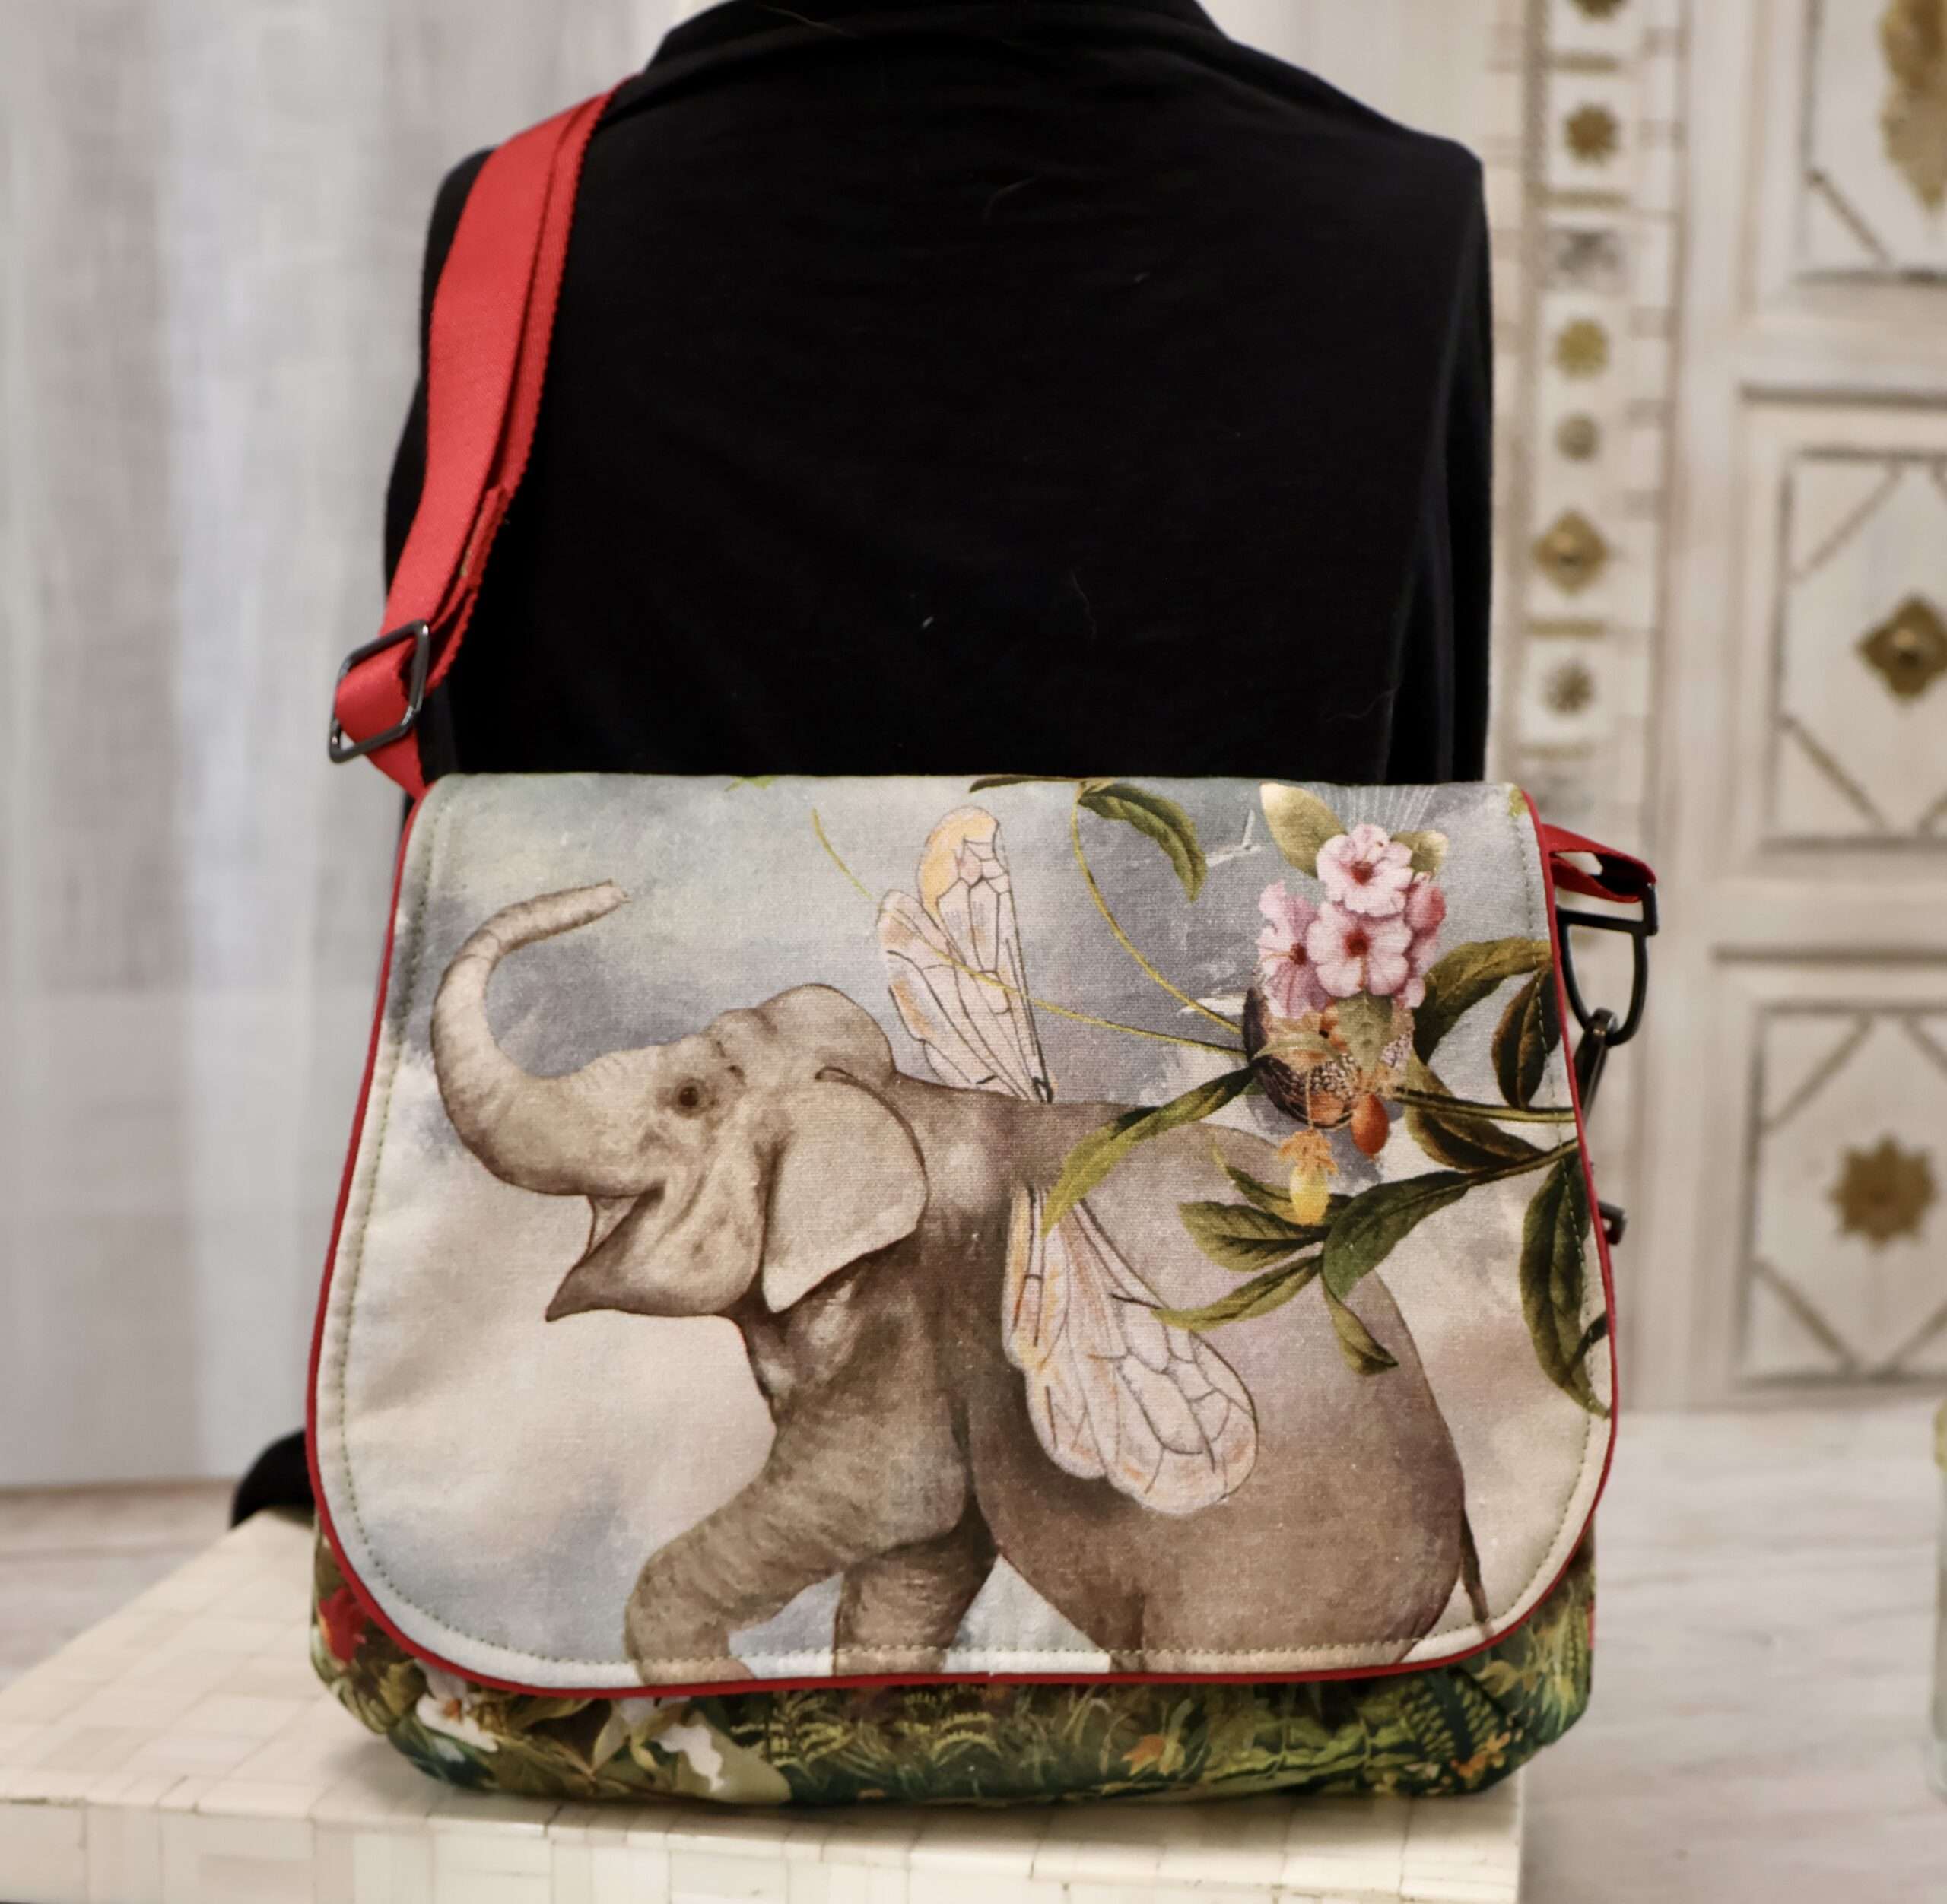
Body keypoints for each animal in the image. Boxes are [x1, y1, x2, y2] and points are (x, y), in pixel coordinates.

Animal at [431, 881, 1476, 1683]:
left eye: (689, 1097)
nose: (613, 891)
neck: (893, 1099)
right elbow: (922, 1554)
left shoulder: (906, 1321)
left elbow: (883, 1497)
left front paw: (715, 1684)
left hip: (1257, 1587)